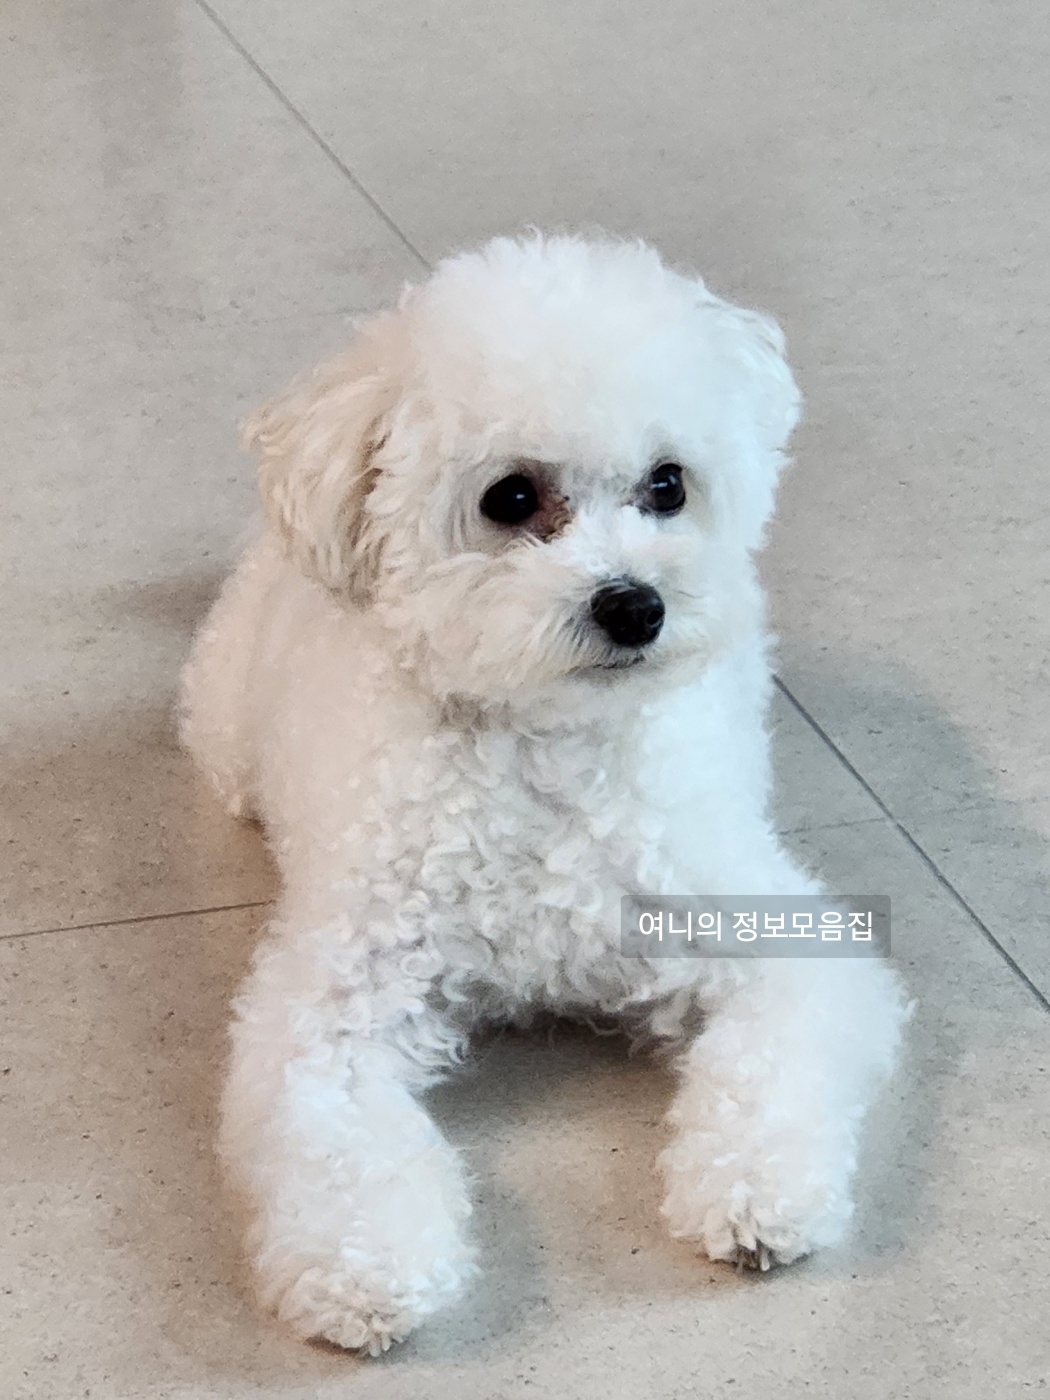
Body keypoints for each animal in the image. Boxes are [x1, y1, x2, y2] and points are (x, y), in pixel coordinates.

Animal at [180, 232, 906, 1354]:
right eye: (512, 498)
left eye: (667, 483)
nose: (636, 606)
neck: (548, 750)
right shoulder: (332, 1004)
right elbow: (336, 1136)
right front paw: (367, 1267)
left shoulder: (771, 933)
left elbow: (770, 1057)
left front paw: (754, 1189)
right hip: (224, 722)